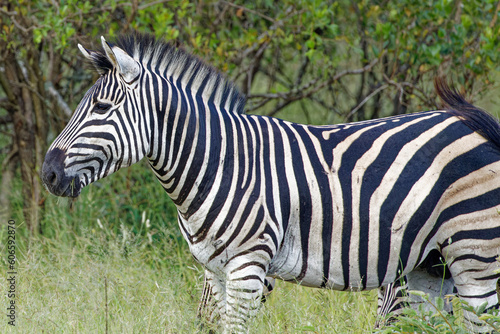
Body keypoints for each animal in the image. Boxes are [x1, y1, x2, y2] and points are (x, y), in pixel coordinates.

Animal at [42, 33, 500, 332]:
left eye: (102, 108)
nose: (48, 173)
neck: (218, 164)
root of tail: (481, 125)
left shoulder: (248, 266)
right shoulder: (215, 270)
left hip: (476, 256)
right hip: (430, 267)